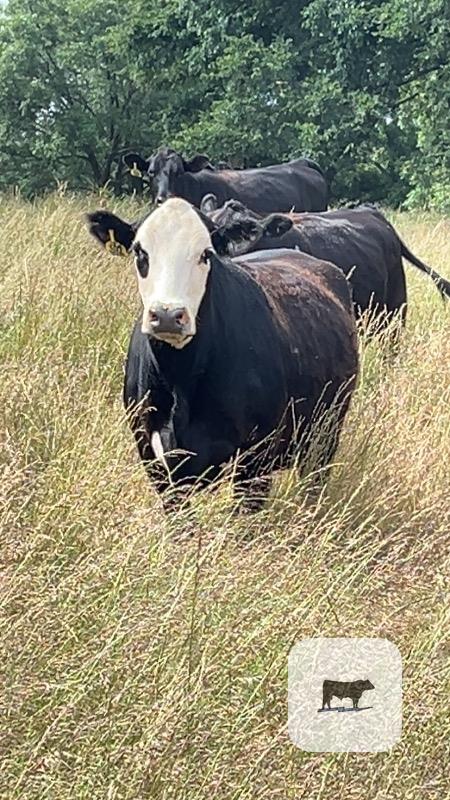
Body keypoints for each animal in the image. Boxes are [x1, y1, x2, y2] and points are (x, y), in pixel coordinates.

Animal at [85, 198, 357, 510]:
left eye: (206, 254)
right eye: (140, 251)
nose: (167, 315)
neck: (180, 382)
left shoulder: (256, 459)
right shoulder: (153, 457)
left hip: (326, 433)